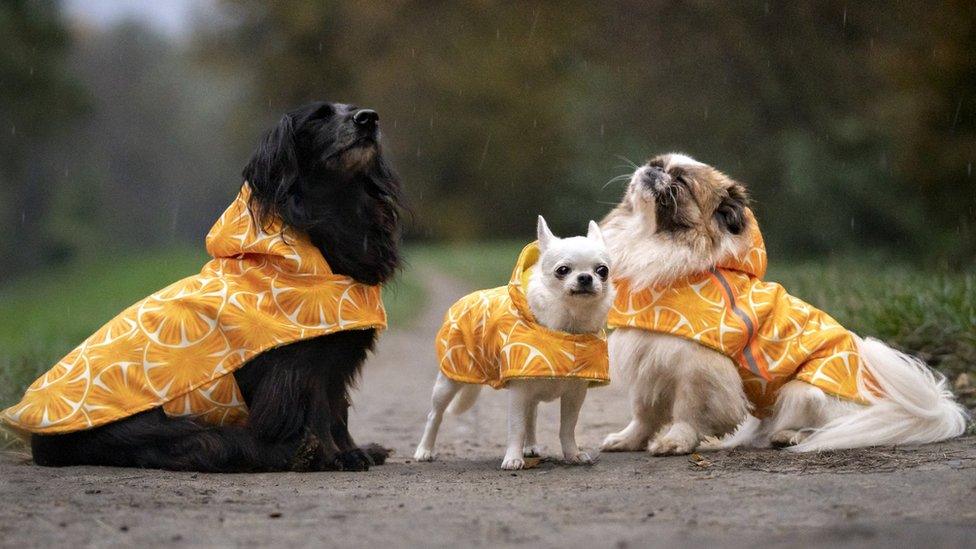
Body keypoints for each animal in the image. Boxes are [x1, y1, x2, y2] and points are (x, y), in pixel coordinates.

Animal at [30, 103, 402, 470]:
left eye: (353, 109)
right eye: (318, 117)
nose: (368, 118)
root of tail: (38, 442)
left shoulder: (339, 361)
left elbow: (339, 411)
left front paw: (356, 450)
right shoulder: (300, 365)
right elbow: (320, 412)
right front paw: (335, 456)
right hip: (159, 428)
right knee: (216, 444)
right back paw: (293, 454)